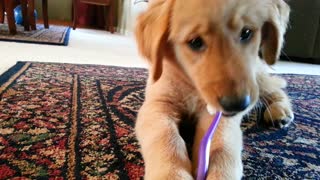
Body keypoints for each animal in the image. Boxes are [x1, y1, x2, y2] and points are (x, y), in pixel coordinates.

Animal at [134, 0, 294, 179]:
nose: (238, 105)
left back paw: (281, 111)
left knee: (276, 89)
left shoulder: (219, 116)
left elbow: (223, 142)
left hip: (256, 76)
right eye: (195, 42)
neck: (192, 86)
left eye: (246, 33)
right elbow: (165, 136)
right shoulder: (158, 105)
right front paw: (172, 174)